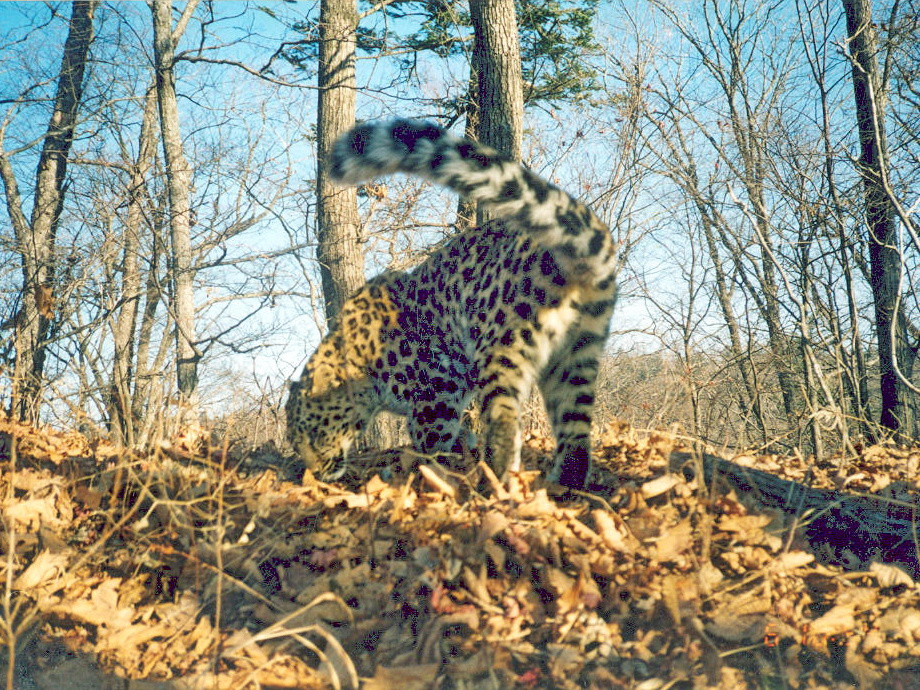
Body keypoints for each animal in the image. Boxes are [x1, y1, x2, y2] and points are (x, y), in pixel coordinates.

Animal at [286, 118, 620, 486]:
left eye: (312, 433)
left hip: (502, 343)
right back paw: (562, 486)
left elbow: (432, 443)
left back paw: (498, 480)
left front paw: (429, 475)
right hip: (577, 353)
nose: (314, 474)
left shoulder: (436, 393)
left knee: (504, 419)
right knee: (575, 431)